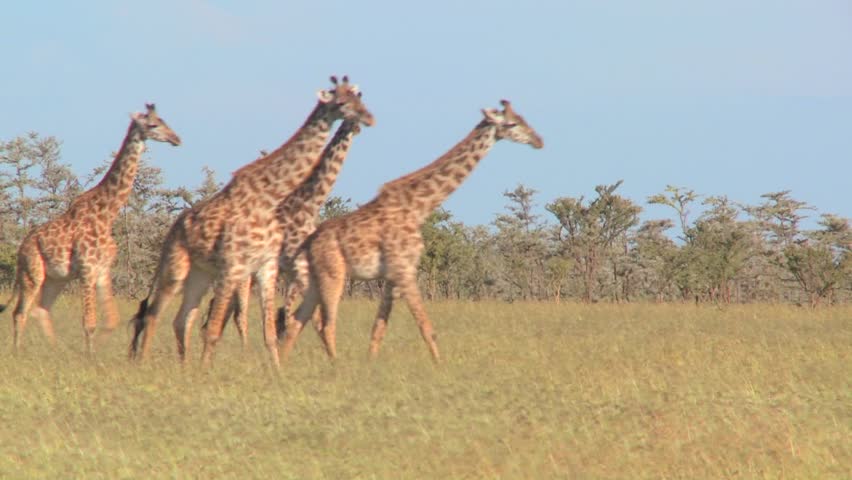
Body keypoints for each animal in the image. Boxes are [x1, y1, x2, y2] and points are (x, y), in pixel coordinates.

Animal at [0, 104, 181, 352]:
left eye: (164, 120)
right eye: (153, 124)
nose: (176, 139)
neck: (106, 214)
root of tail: (20, 249)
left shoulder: (102, 270)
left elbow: (112, 319)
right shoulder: (87, 270)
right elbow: (89, 322)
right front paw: (90, 355)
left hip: (56, 279)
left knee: (41, 309)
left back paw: (56, 349)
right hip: (33, 272)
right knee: (20, 312)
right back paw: (18, 351)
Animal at [279, 100, 543, 362]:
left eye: (522, 118)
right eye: (511, 123)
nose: (538, 140)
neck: (419, 207)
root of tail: (307, 243)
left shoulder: (391, 277)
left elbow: (378, 329)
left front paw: (371, 365)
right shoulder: (405, 270)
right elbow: (426, 327)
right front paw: (440, 367)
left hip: (312, 280)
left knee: (296, 321)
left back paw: (283, 367)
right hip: (333, 274)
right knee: (324, 324)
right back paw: (334, 366)